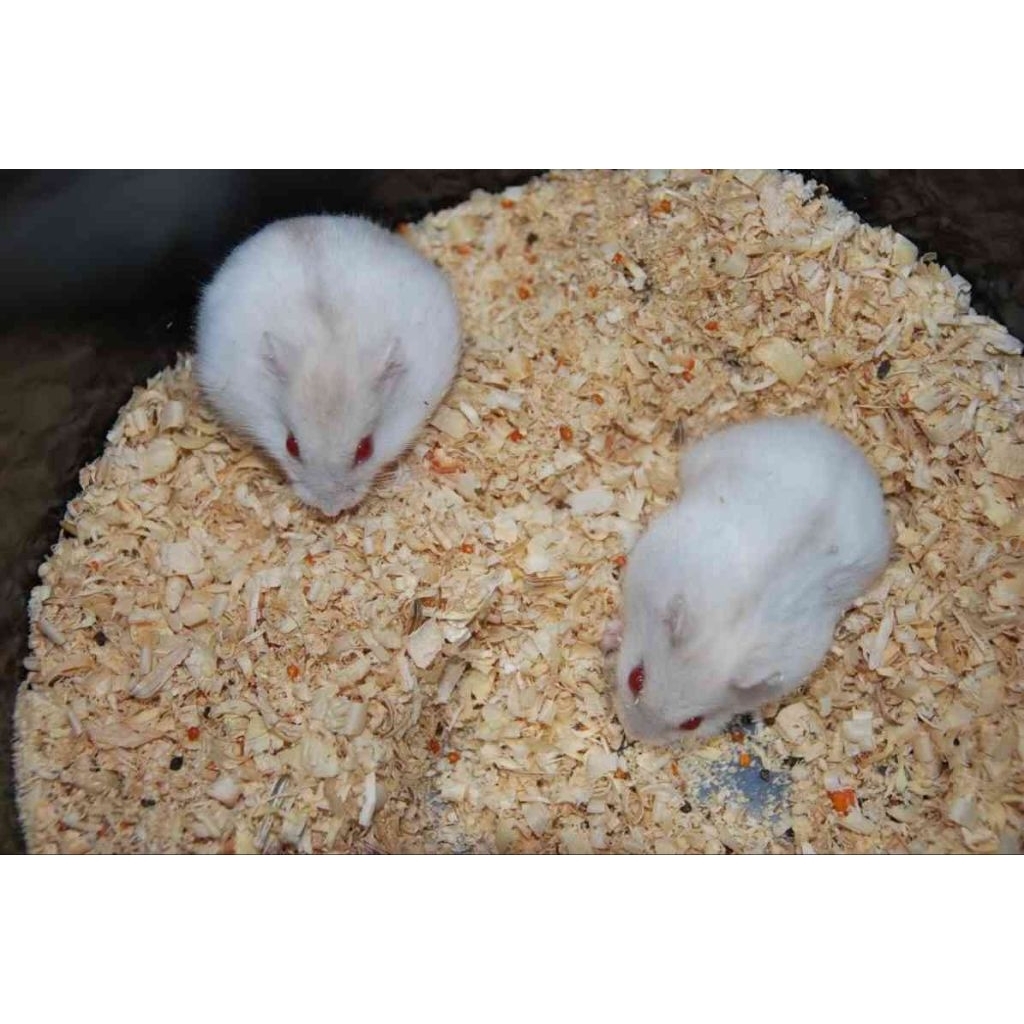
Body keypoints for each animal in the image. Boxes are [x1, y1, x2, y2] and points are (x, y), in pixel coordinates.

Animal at [608, 415, 891, 745]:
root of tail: (849, 449)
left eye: (692, 723)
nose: (632, 733)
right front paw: (608, 635)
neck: (725, 628)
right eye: (635, 678)